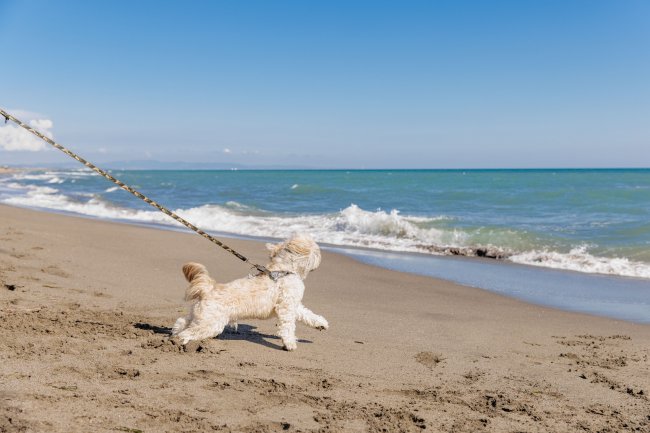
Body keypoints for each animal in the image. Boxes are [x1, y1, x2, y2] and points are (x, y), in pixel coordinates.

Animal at [171, 231, 326, 350]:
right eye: (316, 249)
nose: (320, 257)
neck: (283, 270)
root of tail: (208, 289)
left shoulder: (294, 304)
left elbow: (307, 314)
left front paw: (321, 323)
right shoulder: (286, 307)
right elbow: (287, 327)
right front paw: (290, 344)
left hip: (199, 316)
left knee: (182, 321)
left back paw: (174, 333)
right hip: (210, 323)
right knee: (188, 333)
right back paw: (182, 343)